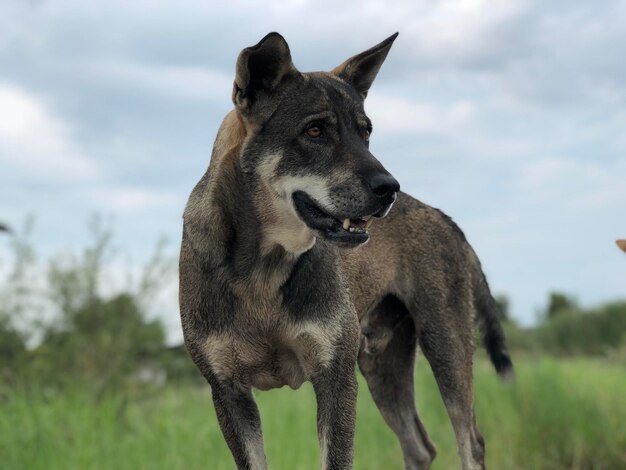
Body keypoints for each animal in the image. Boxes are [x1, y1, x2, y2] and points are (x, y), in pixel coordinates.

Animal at [178, 33, 510, 470]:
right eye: (315, 130)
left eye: (366, 132)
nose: (390, 188)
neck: (262, 271)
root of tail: (443, 217)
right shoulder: (230, 393)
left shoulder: (335, 379)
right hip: (383, 366)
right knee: (420, 446)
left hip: (446, 348)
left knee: (469, 441)